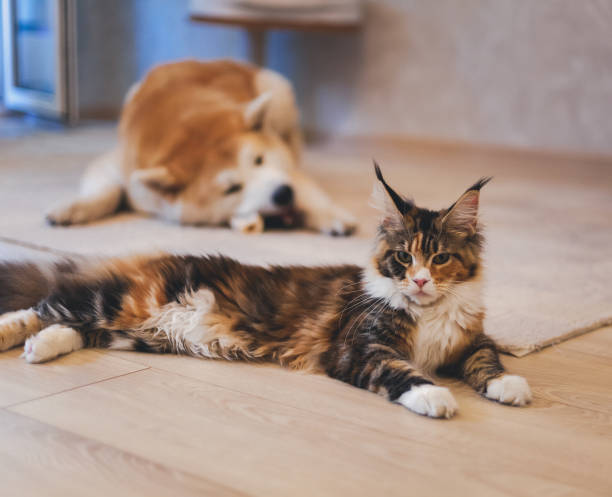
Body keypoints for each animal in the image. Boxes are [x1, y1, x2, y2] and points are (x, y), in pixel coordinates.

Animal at [0, 165, 532, 416]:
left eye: (439, 259)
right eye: (403, 258)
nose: (419, 280)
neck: (428, 313)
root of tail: (149, 258)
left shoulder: (469, 339)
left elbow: (486, 360)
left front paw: (509, 387)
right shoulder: (361, 347)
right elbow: (403, 372)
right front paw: (436, 397)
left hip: (137, 332)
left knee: (68, 326)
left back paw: (37, 350)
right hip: (123, 303)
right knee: (46, 305)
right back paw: (12, 335)